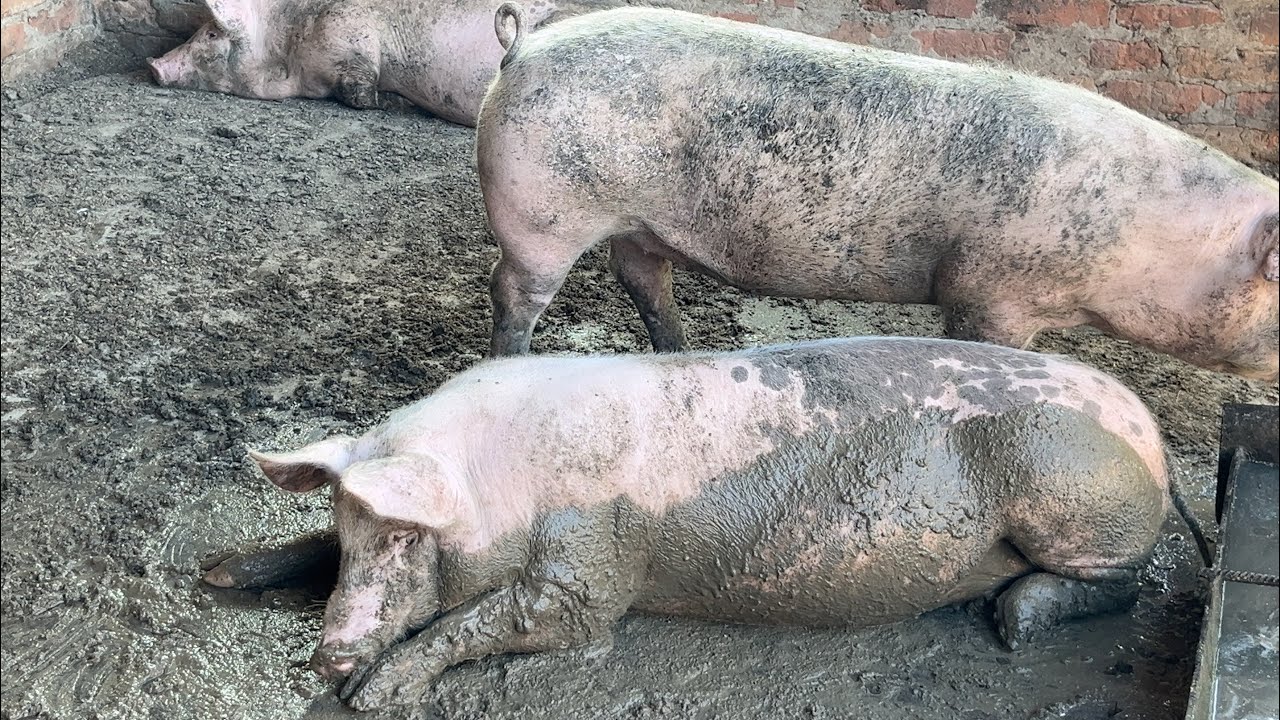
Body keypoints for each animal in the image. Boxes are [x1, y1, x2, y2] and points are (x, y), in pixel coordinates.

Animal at [209, 337, 1172, 710]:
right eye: (351, 530)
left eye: (408, 537)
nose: (330, 655)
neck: (498, 485)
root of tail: (1147, 427)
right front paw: (221, 571)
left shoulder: (592, 570)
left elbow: (505, 616)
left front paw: (374, 695)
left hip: (1068, 492)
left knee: (1121, 583)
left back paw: (1010, 623)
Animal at [478, 5, 1280, 380]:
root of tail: (522, 49)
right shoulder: (991, 288)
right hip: (541, 214)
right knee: (512, 289)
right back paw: (510, 363)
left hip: (638, 222)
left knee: (642, 276)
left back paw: (678, 353)